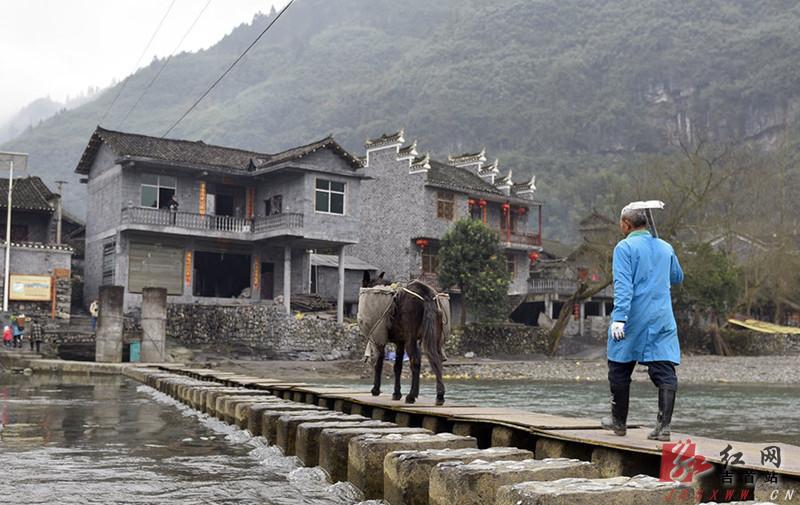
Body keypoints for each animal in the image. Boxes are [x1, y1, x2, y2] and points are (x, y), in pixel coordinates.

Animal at [360, 272, 444, 406]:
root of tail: (427, 295)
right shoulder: (400, 342)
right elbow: (397, 367)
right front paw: (396, 393)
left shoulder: (379, 340)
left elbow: (378, 363)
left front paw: (376, 389)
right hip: (435, 337)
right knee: (437, 360)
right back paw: (439, 396)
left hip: (412, 339)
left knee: (415, 362)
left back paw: (411, 396)